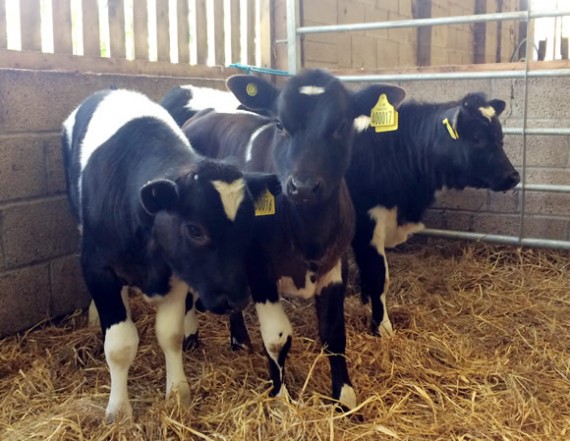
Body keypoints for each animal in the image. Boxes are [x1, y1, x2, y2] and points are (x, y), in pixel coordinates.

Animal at [61, 88, 278, 420]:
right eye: (195, 230)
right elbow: (120, 345)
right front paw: (119, 411)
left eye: (249, 224)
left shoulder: (176, 272)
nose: (236, 298)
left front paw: (178, 393)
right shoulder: (98, 266)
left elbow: (170, 335)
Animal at [181, 69, 404, 410]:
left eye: (340, 126)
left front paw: (345, 396)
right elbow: (277, 338)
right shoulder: (260, 272)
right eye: (279, 125)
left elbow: (334, 333)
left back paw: (239, 339)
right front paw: (281, 397)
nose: (303, 186)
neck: (307, 232)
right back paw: (191, 337)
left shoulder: (334, 267)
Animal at [346, 92, 520, 334]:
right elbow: (378, 276)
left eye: (500, 137)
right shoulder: (367, 226)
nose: (513, 176)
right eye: (476, 138)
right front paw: (383, 328)